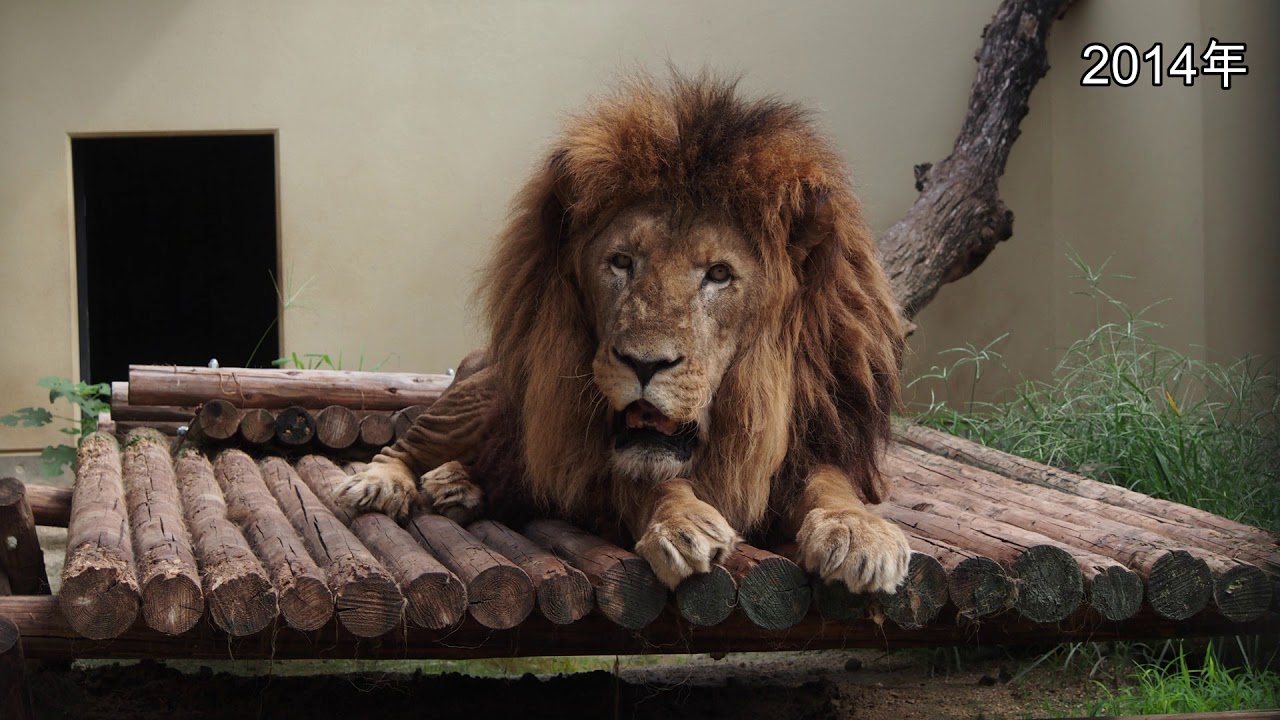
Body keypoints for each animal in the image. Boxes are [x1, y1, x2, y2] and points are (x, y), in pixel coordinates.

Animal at [336, 72, 911, 594]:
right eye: (620, 262)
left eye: (718, 274)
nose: (643, 364)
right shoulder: (602, 467)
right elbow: (651, 486)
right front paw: (681, 526)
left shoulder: (815, 440)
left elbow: (832, 485)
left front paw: (861, 536)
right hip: (473, 403)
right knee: (405, 446)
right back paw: (379, 485)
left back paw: (457, 484)